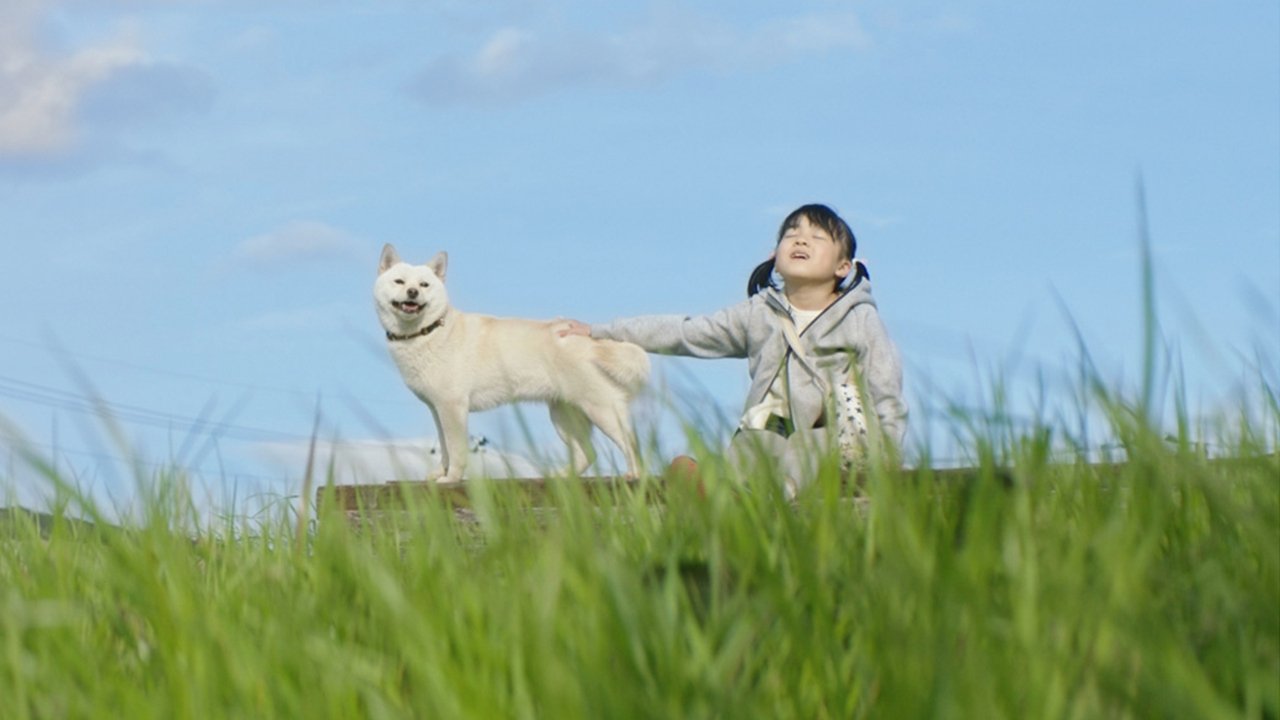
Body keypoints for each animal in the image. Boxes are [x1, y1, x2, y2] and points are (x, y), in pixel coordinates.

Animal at [371, 242, 650, 481]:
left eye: (424, 284)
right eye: (399, 281)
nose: (412, 292)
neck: (428, 331)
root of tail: (593, 340)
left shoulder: (453, 407)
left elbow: (456, 450)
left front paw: (451, 479)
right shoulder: (437, 409)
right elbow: (445, 447)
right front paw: (441, 474)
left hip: (601, 410)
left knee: (630, 445)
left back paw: (635, 476)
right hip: (564, 416)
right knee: (587, 454)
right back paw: (560, 479)